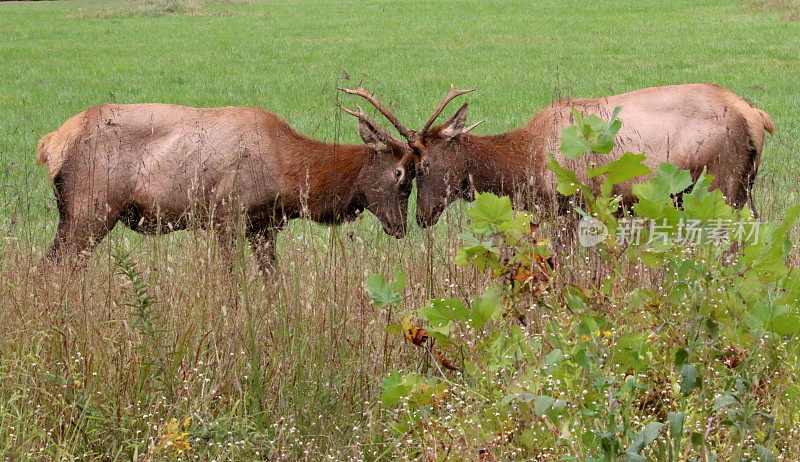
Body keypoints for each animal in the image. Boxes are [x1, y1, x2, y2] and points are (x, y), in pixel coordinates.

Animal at [36, 101, 412, 268]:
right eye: (400, 174)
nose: (401, 228)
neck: (288, 170)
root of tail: (52, 142)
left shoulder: (263, 225)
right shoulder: (226, 216)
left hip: (74, 214)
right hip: (91, 210)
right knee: (56, 266)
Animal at [342, 83, 776, 229]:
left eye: (424, 164)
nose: (421, 217)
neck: (525, 163)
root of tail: (758, 116)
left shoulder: (570, 204)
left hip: (723, 185)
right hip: (740, 189)